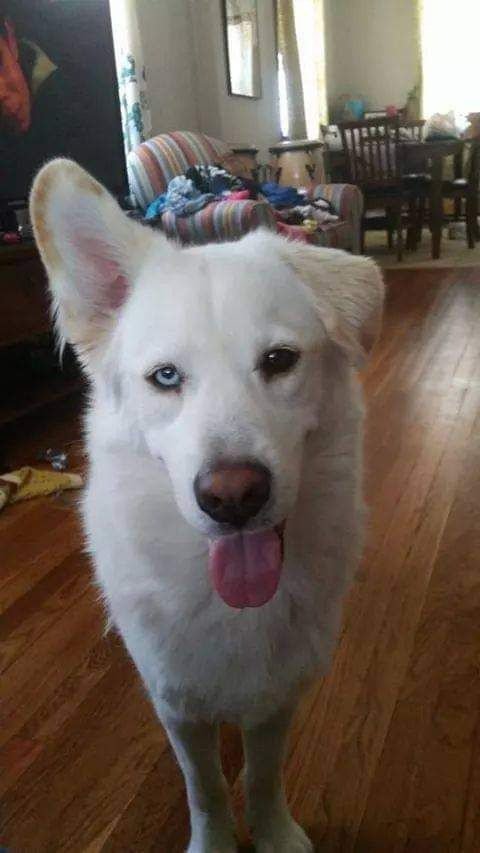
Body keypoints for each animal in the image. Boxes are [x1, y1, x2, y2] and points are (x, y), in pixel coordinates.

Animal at [29, 160, 382, 852]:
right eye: (165, 377)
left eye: (279, 361)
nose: (233, 497)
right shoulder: (177, 706)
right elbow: (207, 787)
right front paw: (216, 841)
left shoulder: (279, 697)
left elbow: (261, 776)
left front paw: (273, 834)